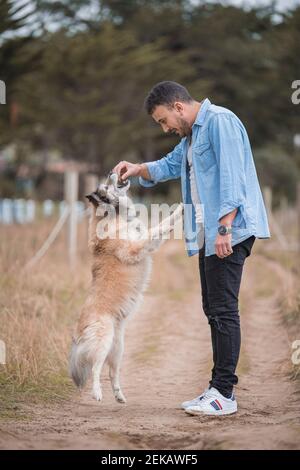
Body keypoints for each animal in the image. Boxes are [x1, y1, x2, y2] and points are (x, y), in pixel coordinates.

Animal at [69, 173, 183, 404]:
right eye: (106, 186)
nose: (113, 173)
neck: (114, 217)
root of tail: (78, 332)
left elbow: (162, 228)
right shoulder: (137, 247)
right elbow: (159, 226)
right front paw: (182, 208)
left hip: (118, 348)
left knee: (112, 372)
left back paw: (119, 395)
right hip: (103, 341)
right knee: (95, 369)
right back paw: (97, 393)